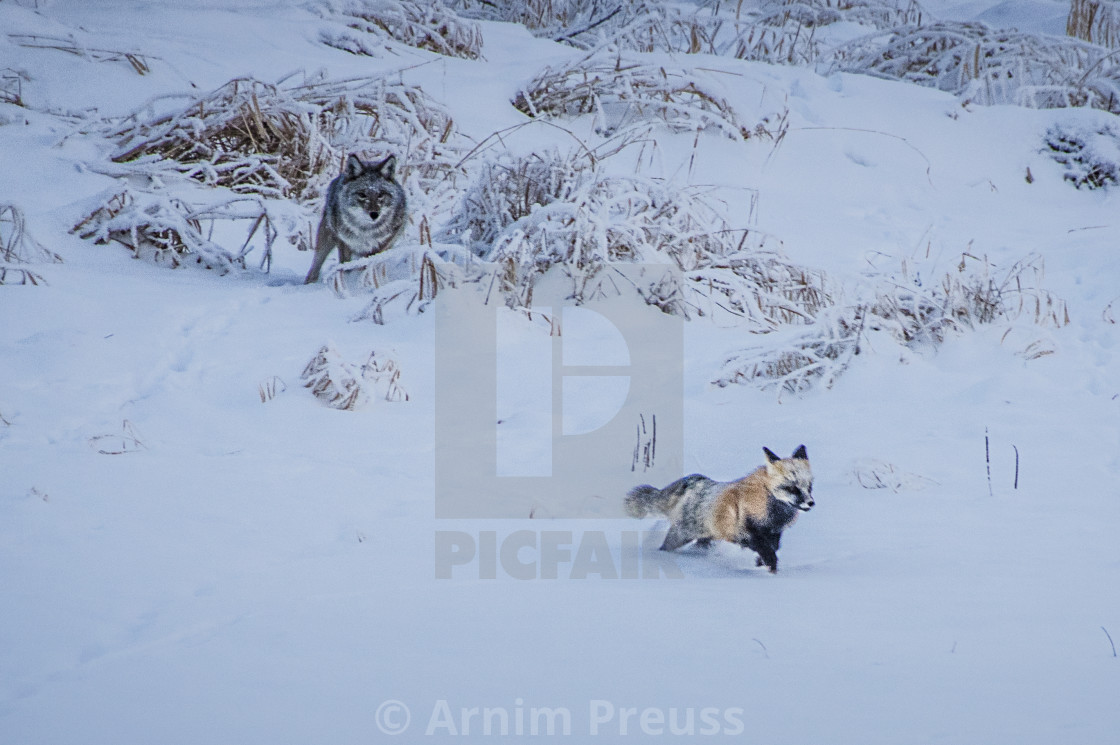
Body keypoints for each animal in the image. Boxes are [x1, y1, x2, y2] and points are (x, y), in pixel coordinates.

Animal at [622, 443, 815, 571]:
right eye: (792, 488)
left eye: (809, 487)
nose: (811, 503)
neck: (771, 516)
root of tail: (694, 481)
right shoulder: (745, 533)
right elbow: (767, 551)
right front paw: (769, 567)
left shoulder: (774, 534)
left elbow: (773, 549)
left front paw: (761, 565)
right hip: (679, 536)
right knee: (664, 547)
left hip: (706, 539)